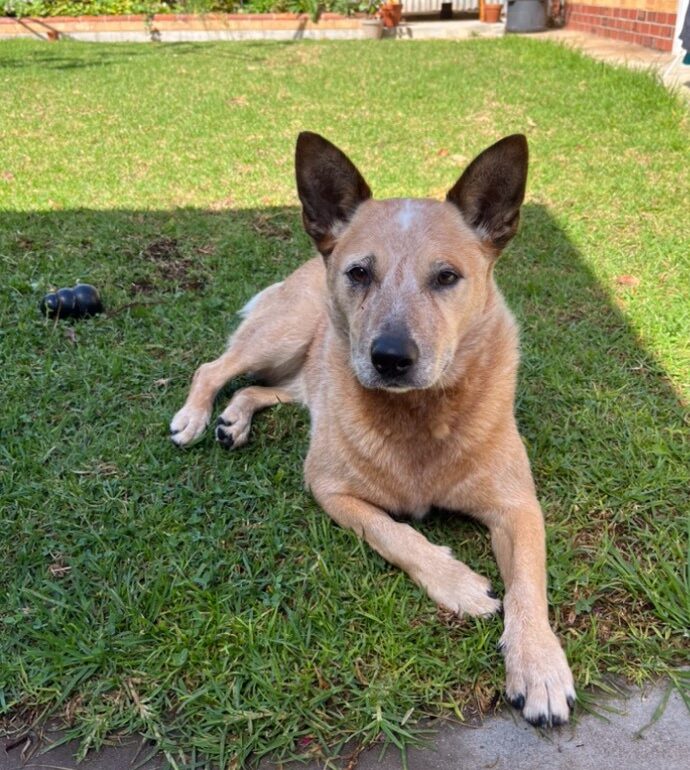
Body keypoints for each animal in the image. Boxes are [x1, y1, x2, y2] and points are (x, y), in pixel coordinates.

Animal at [171, 132, 576, 728]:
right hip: (280, 336)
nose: (389, 358)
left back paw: (233, 420)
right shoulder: (330, 489)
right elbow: (395, 533)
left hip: (300, 373)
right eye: (360, 272)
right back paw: (196, 416)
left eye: (447, 276)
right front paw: (459, 584)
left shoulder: (518, 507)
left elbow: (529, 585)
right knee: (214, 368)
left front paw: (539, 664)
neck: (419, 418)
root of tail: (304, 263)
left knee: (260, 390)